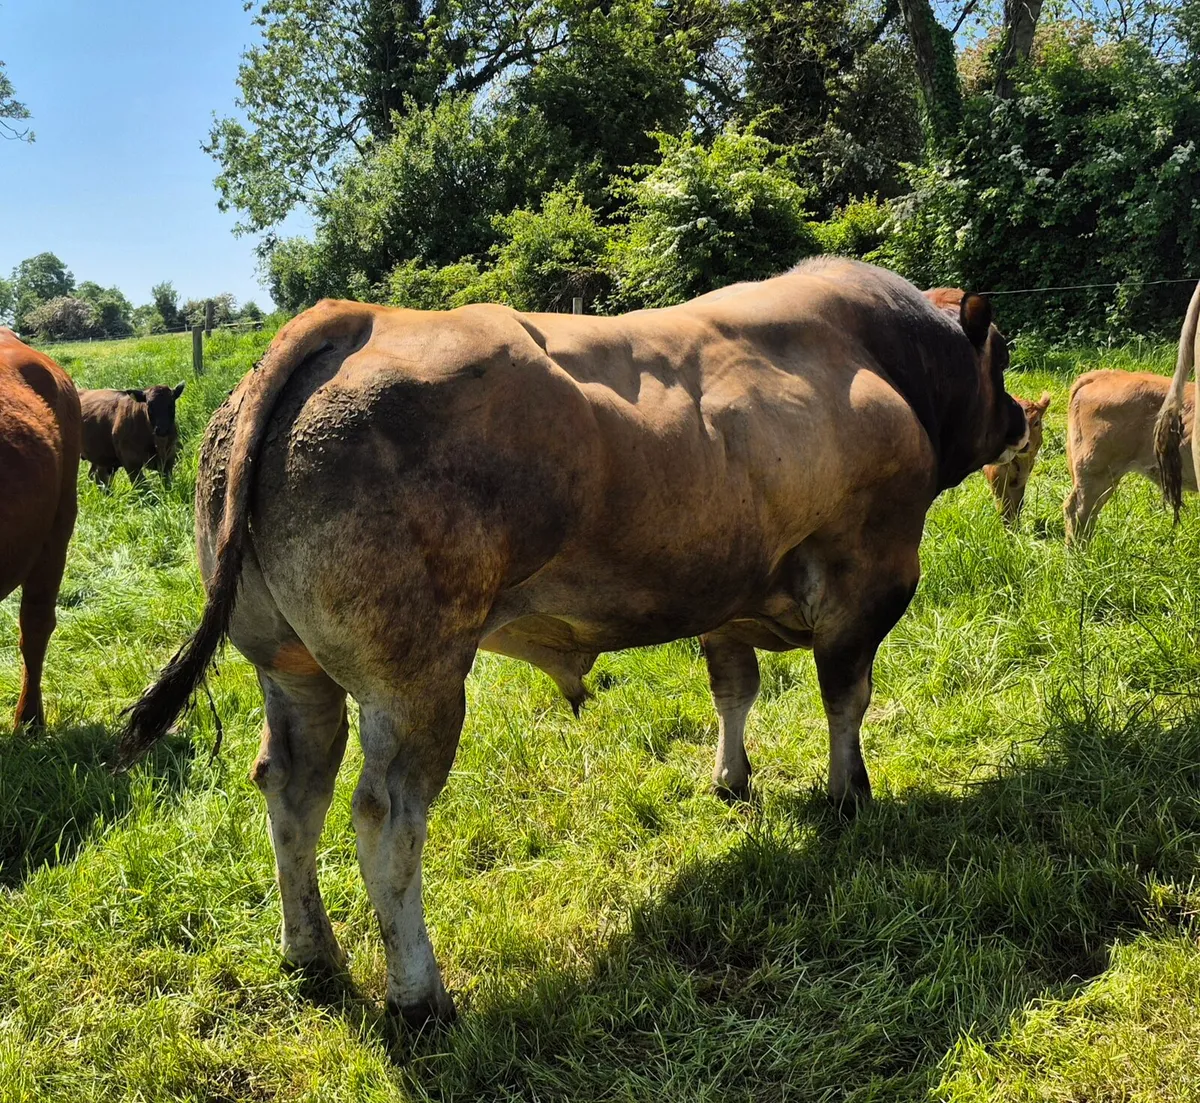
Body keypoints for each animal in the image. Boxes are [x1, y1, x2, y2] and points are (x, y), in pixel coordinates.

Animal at [120, 258, 1027, 1026]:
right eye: (1004, 356)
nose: (1020, 416)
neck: (882, 356)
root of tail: (352, 319)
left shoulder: (725, 590)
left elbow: (733, 689)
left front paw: (732, 780)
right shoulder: (868, 575)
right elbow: (846, 697)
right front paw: (849, 794)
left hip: (290, 666)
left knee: (291, 790)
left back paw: (312, 954)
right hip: (414, 680)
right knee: (386, 817)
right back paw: (420, 999)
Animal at [983, 392, 1051, 525]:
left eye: (1036, 422)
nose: (1023, 444)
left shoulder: (1022, 478)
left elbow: (1018, 504)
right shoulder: (995, 474)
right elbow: (1004, 508)